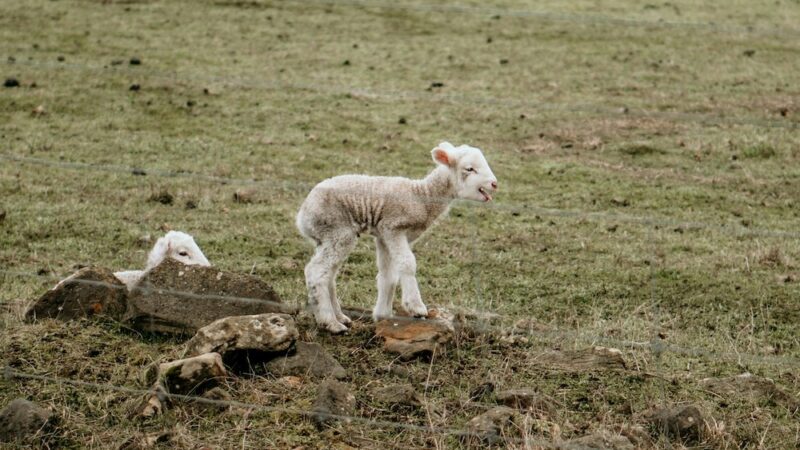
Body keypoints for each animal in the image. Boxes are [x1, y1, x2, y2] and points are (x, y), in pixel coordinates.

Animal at [296, 142, 496, 332]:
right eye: (470, 169)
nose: (494, 184)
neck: (422, 197)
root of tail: (302, 215)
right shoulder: (394, 227)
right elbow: (407, 263)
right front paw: (416, 307)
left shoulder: (383, 234)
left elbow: (388, 274)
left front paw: (383, 315)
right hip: (338, 230)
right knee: (316, 271)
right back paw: (330, 322)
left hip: (328, 238)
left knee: (328, 273)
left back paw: (340, 317)